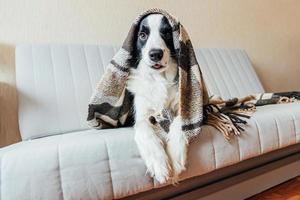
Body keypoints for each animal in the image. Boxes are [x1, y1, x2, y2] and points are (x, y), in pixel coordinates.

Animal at [126, 13, 188, 184]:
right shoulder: (141, 115)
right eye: (142, 35)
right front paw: (159, 165)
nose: (155, 54)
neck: (160, 78)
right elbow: (144, 129)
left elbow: (180, 121)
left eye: (167, 33)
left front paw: (175, 156)